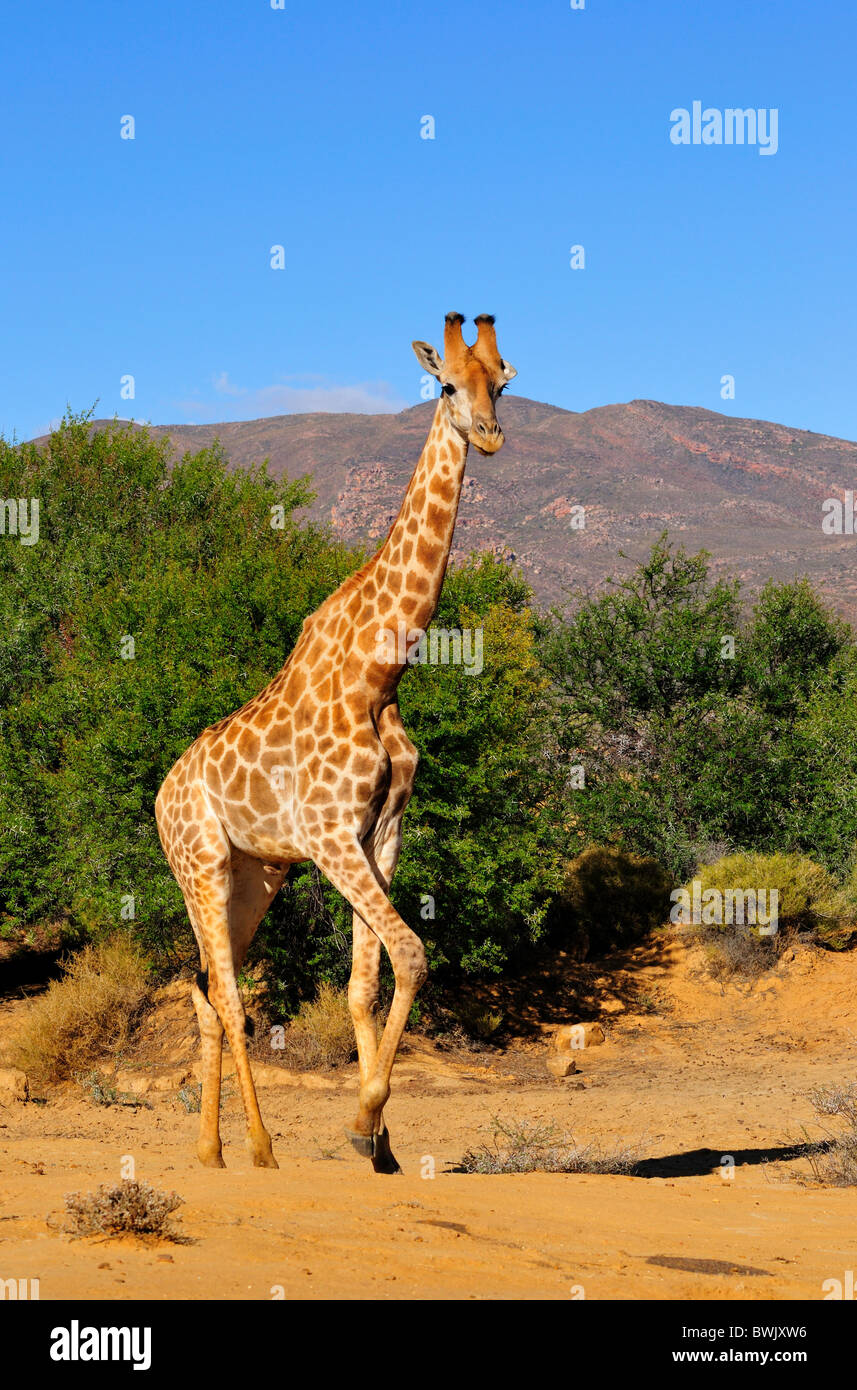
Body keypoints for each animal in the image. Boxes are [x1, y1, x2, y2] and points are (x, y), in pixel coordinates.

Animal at [153, 312, 513, 1173]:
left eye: (503, 380)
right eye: (445, 385)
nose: (488, 434)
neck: (379, 674)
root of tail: (158, 794)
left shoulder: (379, 834)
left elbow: (363, 983)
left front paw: (379, 1141)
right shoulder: (328, 836)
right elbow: (412, 954)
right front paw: (364, 1120)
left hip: (255, 876)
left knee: (209, 993)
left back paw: (211, 1149)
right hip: (199, 866)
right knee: (228, 996)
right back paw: (259, 1145)